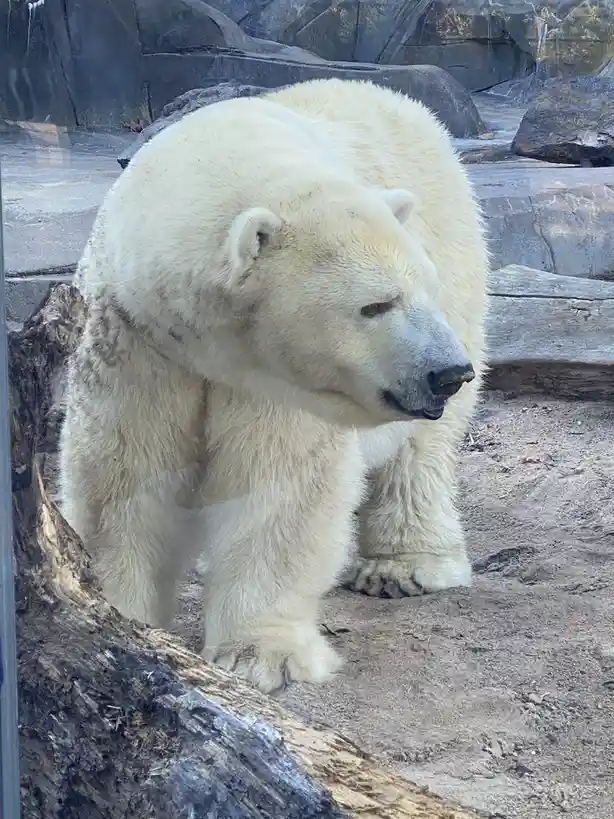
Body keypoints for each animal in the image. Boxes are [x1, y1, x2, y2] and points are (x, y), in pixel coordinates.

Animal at [59, 77, 489, 695]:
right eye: (375, 305)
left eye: (419, 291)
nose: (447, 372)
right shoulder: (134, 336)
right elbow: (125, 477)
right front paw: (121, 616)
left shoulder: (285, 379)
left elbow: (277, 488)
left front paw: (260, 656)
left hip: (457, 261)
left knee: (421, 450)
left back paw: (404, 566)